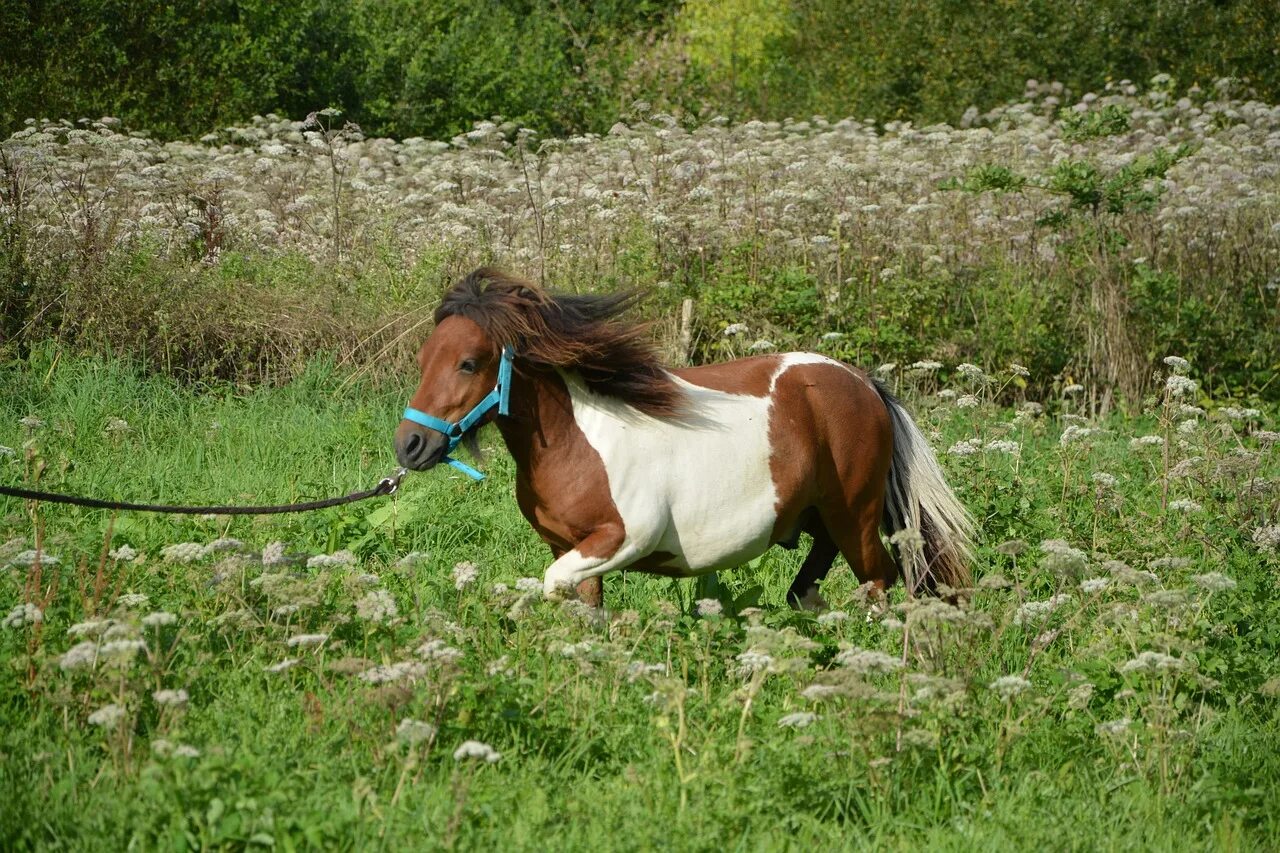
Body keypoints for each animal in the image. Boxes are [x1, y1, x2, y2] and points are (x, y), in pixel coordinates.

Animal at [389, 268, 967, 607]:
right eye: (423, 359)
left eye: (469, 363)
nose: (409, 446)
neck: (579, 442)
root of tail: (862, 383)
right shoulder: (572, 548)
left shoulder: (622, 538)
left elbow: (553, 586)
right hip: (821, 518)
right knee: (810, 587)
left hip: (855, 517)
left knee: (882, 580)